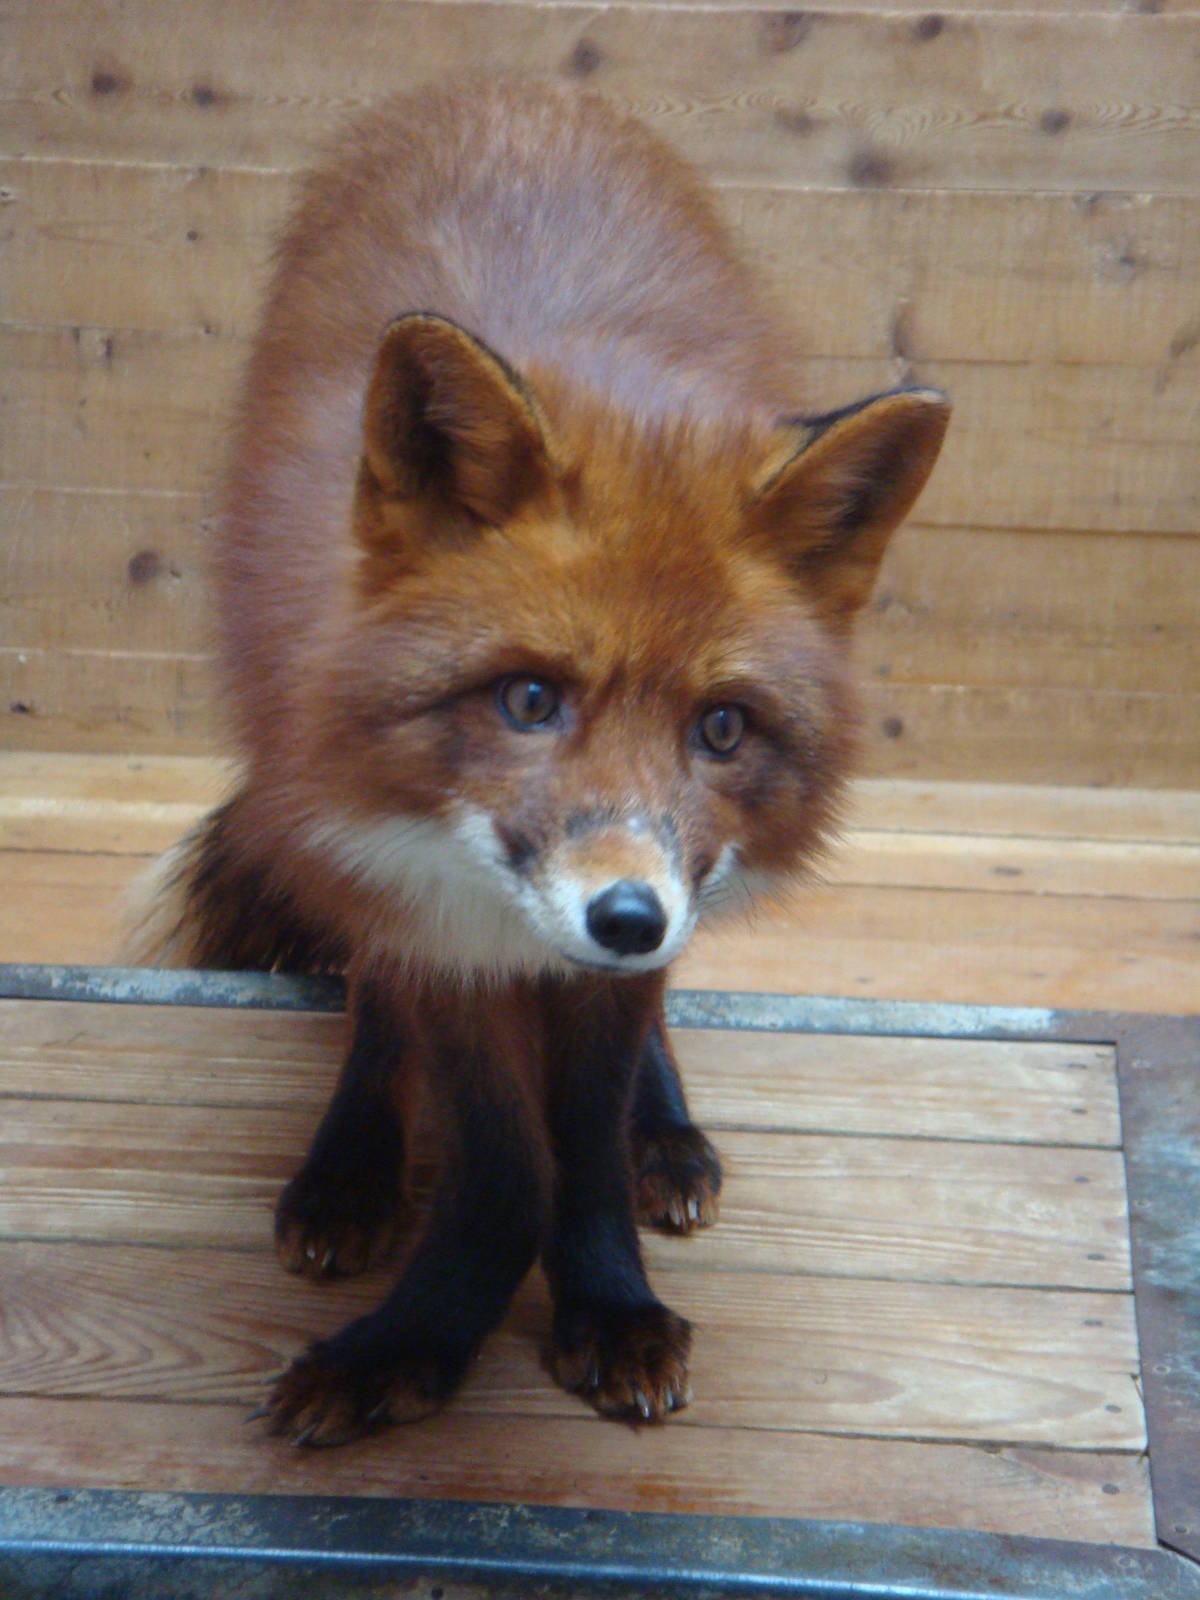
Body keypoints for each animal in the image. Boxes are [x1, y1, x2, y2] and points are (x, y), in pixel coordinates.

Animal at [126, 79, 948, 1444]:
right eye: (528, 699)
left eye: (721, 729)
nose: (626, 916)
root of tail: (513, 92)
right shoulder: (428, 906)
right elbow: (503, 1159)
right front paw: (420, 1333)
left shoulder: (625, 934)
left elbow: (586, 1134)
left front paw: (608, 1295)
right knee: (370, 996)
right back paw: (351, 1164)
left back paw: (664, 1131)